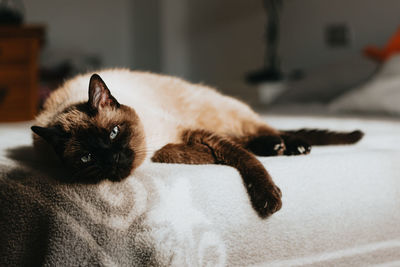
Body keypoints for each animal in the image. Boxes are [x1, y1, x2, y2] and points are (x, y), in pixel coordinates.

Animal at [31, 69, 362, 220]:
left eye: (113, 133)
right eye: (87, 158)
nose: (112, 159)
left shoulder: (190, 132)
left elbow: (244, 159)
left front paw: (268, 199)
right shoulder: (168, 145)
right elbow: (188, 154)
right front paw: (210, 157)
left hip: (226, 117)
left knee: (263, 131)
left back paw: (291, 146)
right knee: (252, 139)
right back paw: (277, 148)